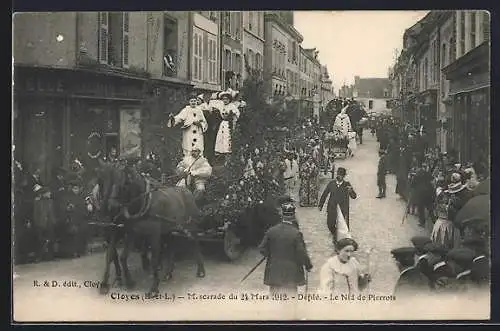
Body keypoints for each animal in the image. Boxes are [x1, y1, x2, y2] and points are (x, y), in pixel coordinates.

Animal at [98, 160, 206, 296]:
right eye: (101, 181)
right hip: (171, 229)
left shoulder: (153, 233)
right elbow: (118, 256)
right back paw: (168, 273)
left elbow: (154, 259)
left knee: (194, 243)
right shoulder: (130, 232)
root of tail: (187, 191)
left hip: (190, 225)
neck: (142, 202)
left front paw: (153, 288)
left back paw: (201, 270)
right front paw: (124, 282)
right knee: (172, 246)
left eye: (125, 184)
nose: (111, 207)